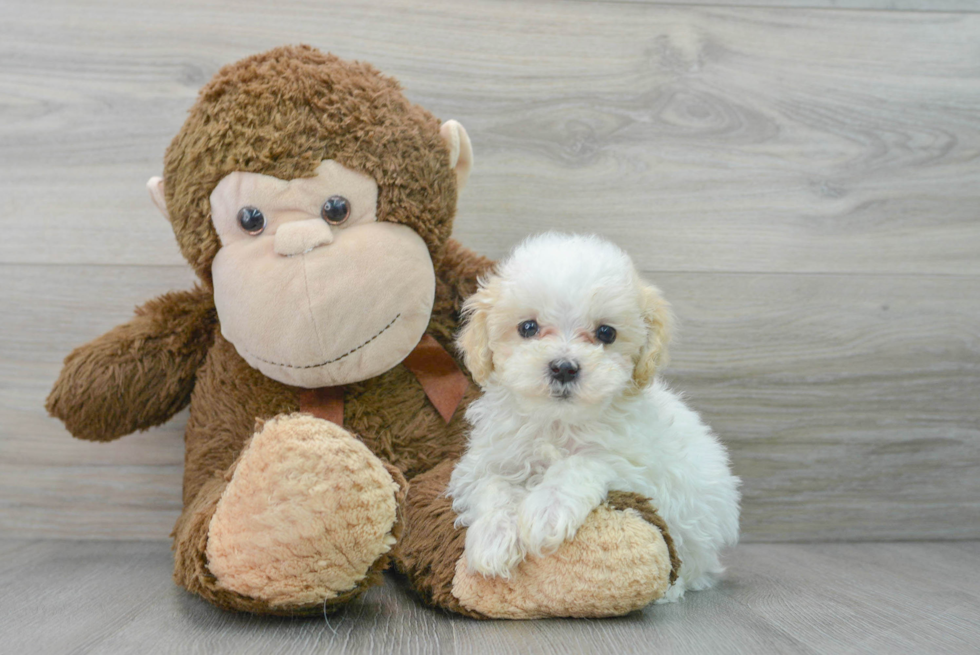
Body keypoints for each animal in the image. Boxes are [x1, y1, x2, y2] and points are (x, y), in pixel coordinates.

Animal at [448, 233, 740, 604]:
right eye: (528, 327)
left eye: (606, 333)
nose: (563, 368)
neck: (558, 422)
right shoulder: (487, 460)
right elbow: (493, 485)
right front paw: (493, 537)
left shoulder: (637, 466)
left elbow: (584, 462)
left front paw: (547, 510)